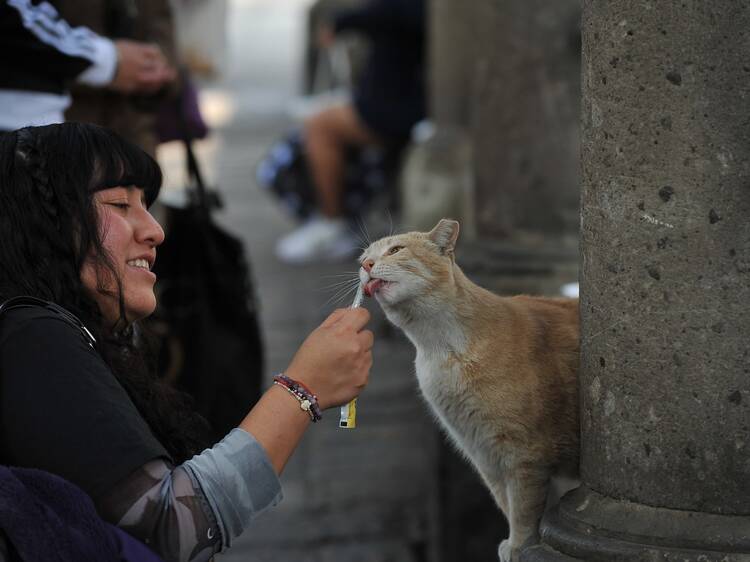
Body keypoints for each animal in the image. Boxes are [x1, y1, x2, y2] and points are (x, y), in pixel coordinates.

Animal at [358, 217, 580, 556]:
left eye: (395, 250)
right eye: (363, 257)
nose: (366, 265)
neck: (442, 350)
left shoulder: (524, 455)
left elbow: (524, 508)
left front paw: (521, 546)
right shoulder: (484, 454)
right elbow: (507, 503)